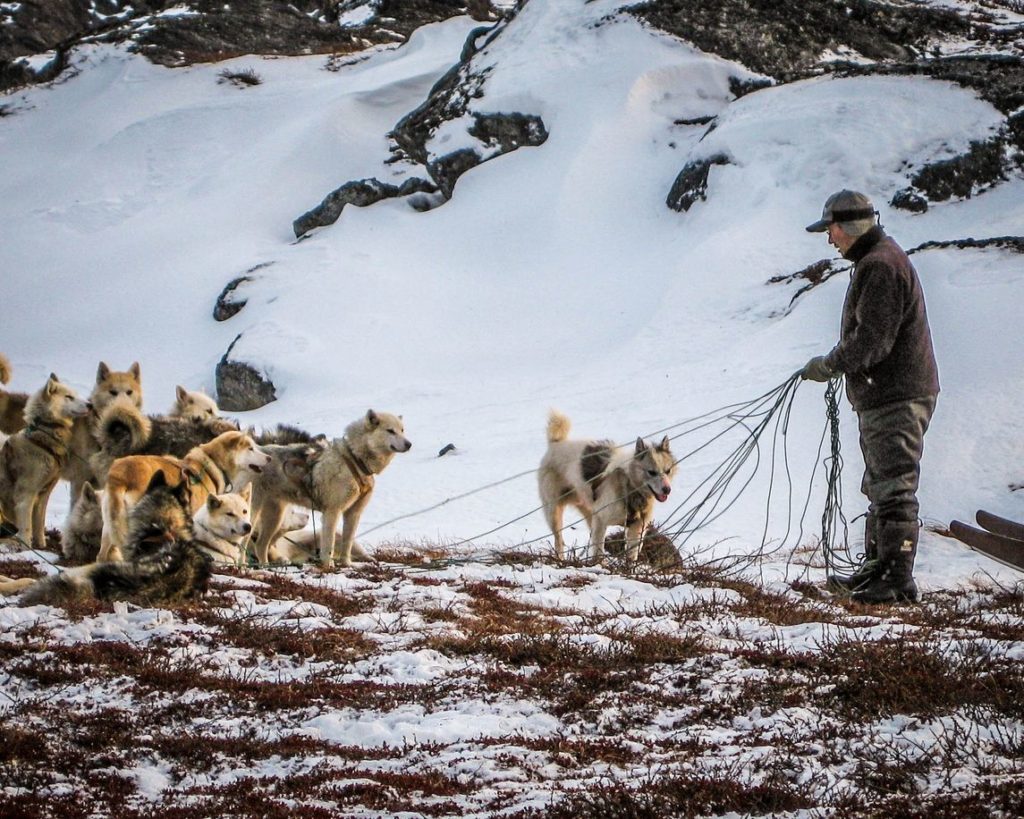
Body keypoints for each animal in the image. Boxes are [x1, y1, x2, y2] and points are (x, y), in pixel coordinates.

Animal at [0, 376, 90, 548]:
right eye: (69, 397)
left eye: (75, 394)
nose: (90, 404)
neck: (41, 441)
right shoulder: (25, 495)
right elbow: (26, 527)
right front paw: (27, 547)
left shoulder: (44, 494)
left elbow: (39, 524)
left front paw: (41, 545)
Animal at [98, 425, 268, 561]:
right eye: (251, 448)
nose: (269, 458)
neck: (210, 466)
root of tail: (119, 474)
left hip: (110, 527)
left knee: (101, 556)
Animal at [249, 409, 409, 569]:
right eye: (390, 430)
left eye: (402, 430)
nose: (409, 444)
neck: (353, 459)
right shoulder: (332, 512)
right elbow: (328, 543)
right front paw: (328, 566)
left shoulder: (353, 513)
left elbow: (347, 542)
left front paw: (347, 564)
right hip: (254, 513)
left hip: (275, 518)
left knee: (260, 545)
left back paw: (264, 566)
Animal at [536, 409, 679, 565]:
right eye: (651, 472)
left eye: (668, 471)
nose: (667, 490)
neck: (628, 485)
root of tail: (556, 443)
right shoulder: (601, 520)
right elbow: (598, 550)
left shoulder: (637, 528)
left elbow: (631, 554)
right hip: (554, 514)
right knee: (559, 540)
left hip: (589, 510)